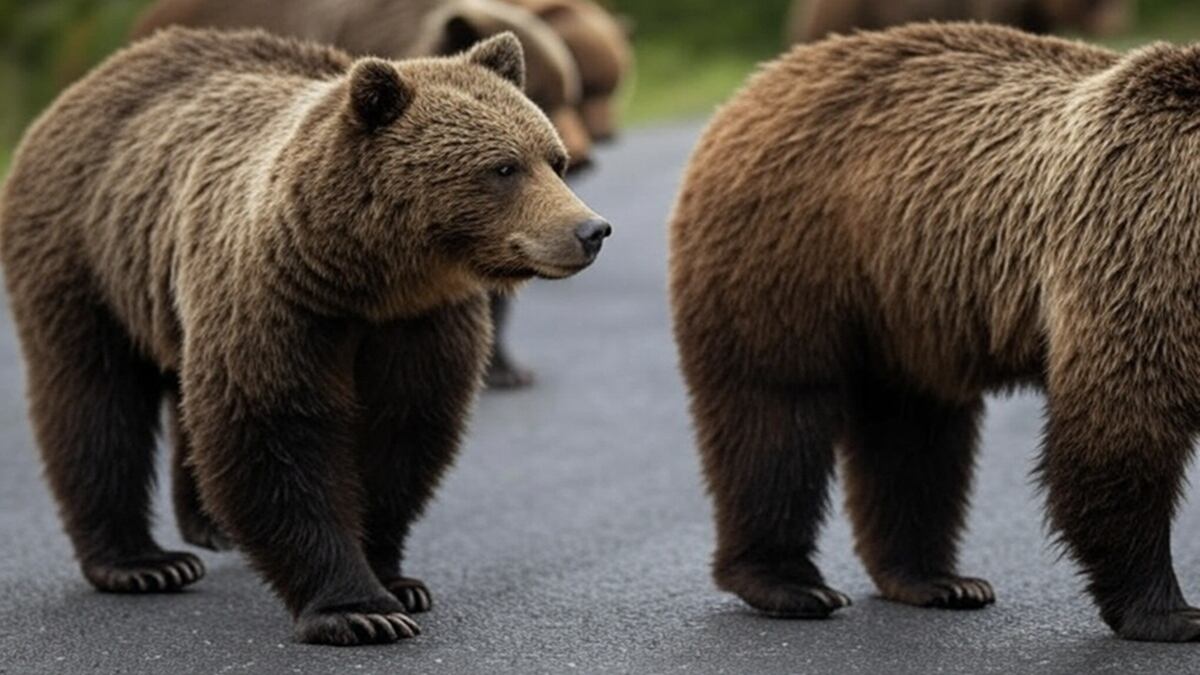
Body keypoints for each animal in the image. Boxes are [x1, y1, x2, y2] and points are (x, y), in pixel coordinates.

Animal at [669, 22, 1200, 642]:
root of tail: (751, 89)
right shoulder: (1143, 243)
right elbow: (1125, 423)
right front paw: (1168, 612)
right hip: (787, 254)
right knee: (775, 416)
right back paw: (789, 584)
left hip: (905, 312)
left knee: (914, 437)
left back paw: (937, 580)